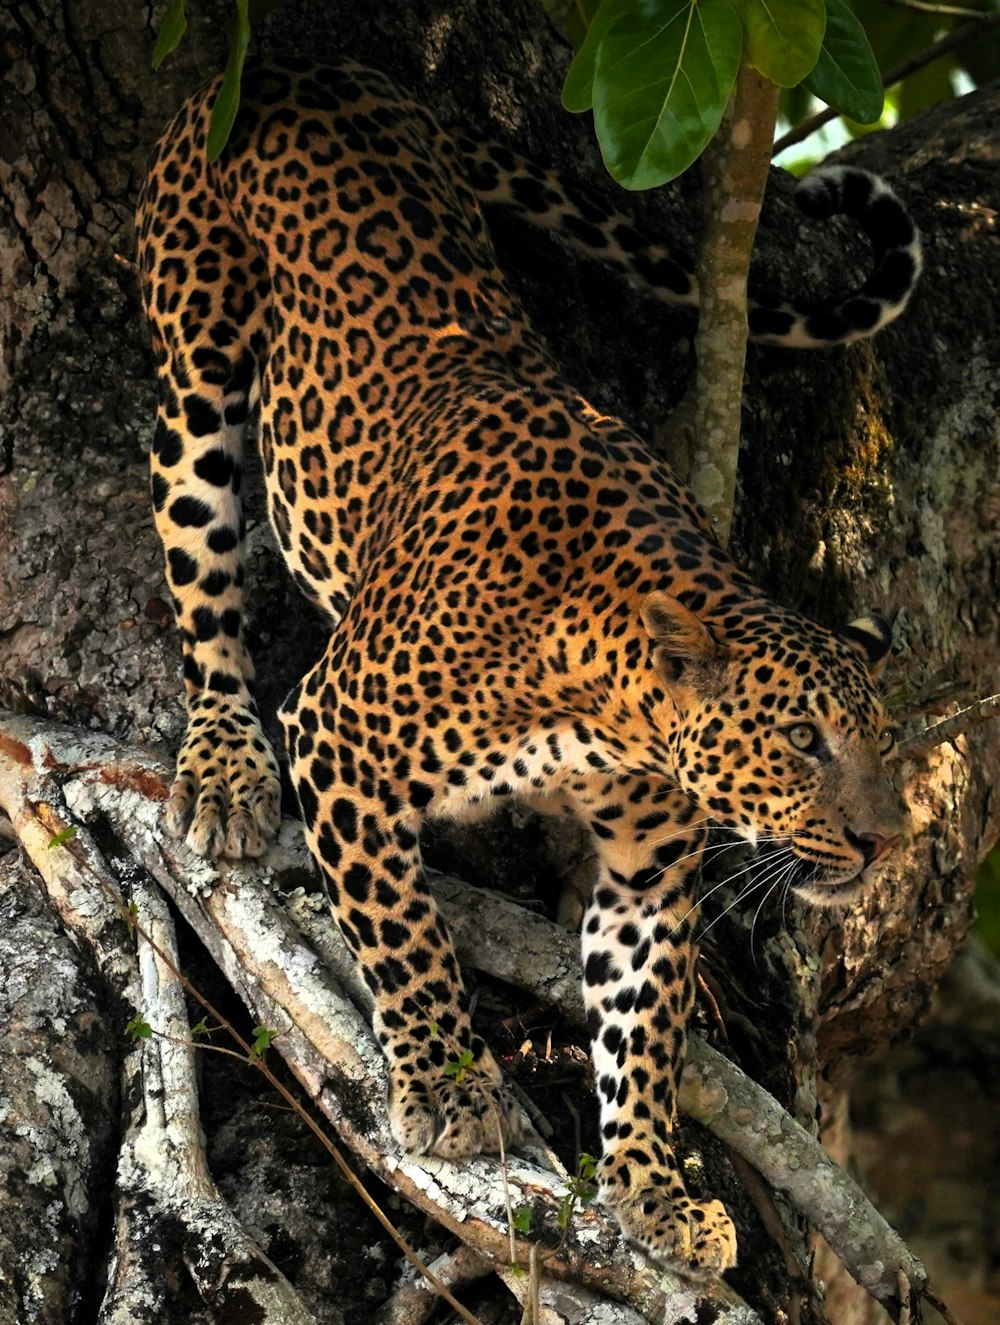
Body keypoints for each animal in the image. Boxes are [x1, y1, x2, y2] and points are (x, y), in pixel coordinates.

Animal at [137, 56, 916, 1277]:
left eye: (882, 746)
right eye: (804, 739)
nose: (889, 841)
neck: (607, 697)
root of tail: (303, 65)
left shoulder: (646, 872)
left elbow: (641, 1030)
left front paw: (653, 1189)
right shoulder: (337, 736)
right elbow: (402, 931)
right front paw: (448, 1089)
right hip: (195, 358)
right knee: (198, 567)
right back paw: (221, 767)